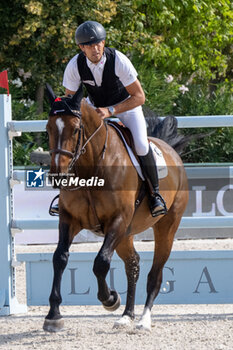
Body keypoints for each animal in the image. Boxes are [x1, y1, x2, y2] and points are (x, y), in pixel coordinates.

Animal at [42, 84, 189, 330]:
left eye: (75, 129)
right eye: (48, 128)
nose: (58, 176)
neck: (91, 169)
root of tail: (170, 151)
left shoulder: (117, 220)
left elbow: (100, 263)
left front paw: (110, 299)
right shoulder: (70, 219)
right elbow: (60, 258)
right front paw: (53, 315)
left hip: (165, 226)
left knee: (155, 274)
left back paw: (143, 320)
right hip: (125, 234)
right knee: (133, 264)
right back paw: (127, 316)